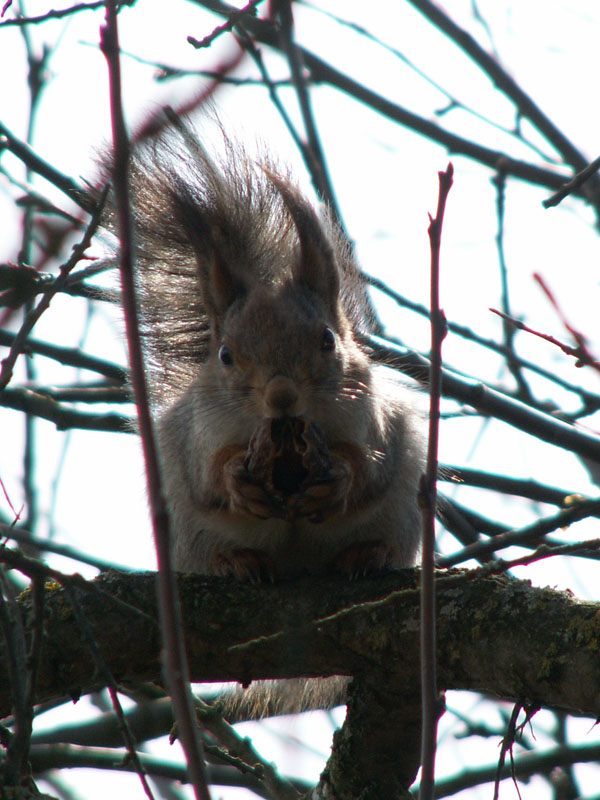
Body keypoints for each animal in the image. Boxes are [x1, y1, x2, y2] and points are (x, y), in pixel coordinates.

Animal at [127, 123, 426, 712]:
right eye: (225, 355)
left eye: (328, 340)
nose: (282, 395)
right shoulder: (196, 433)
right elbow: (209, 472)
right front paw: (236, 480)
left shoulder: (376, 420)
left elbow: (368, 464)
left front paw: (338, 478)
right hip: (186, 536)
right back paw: (236, 562)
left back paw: (366, 554)